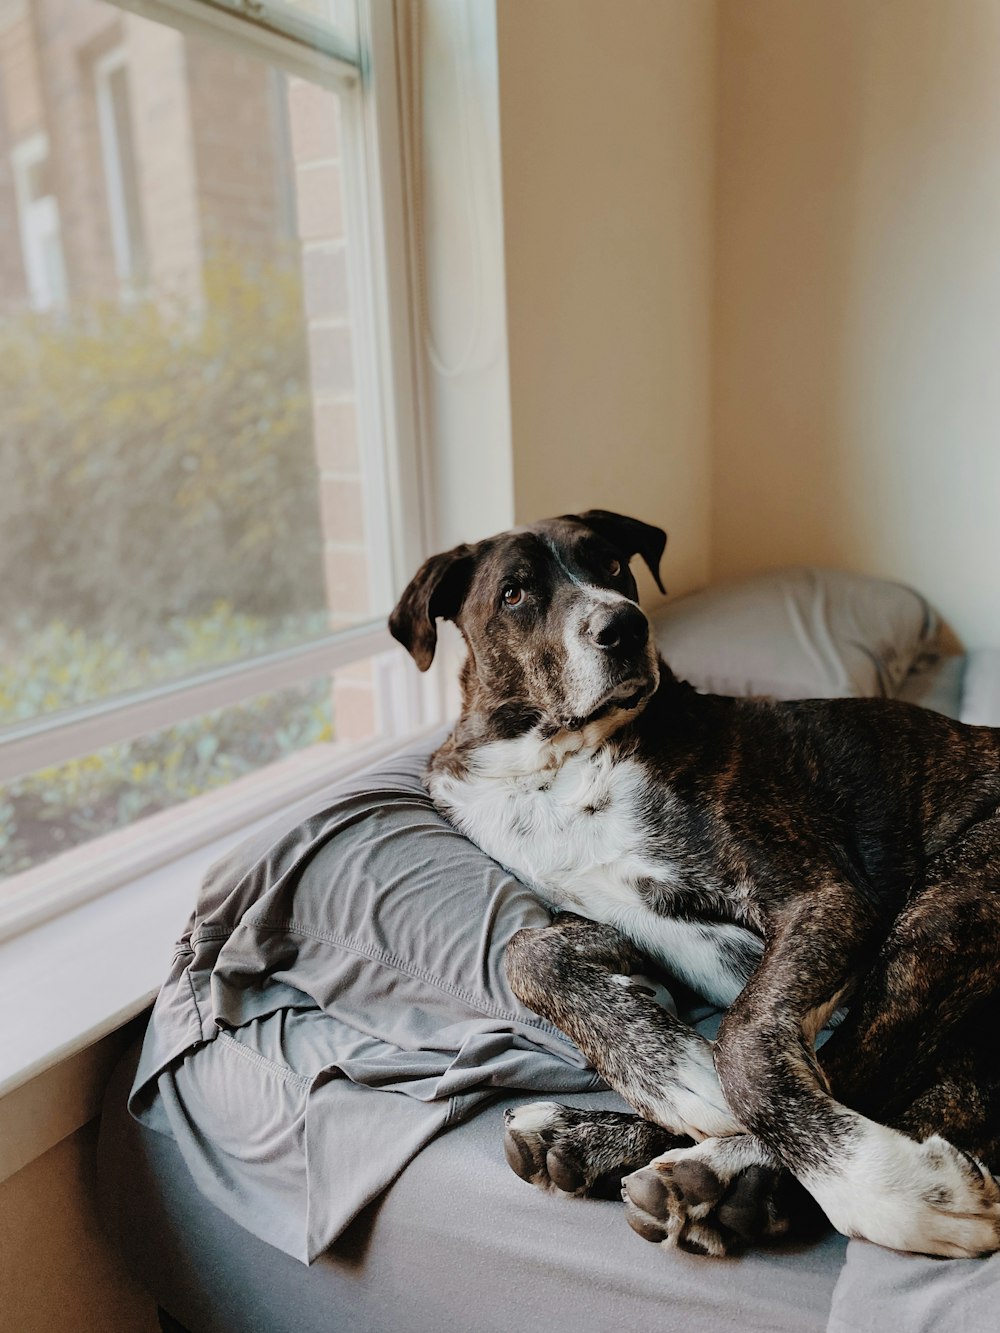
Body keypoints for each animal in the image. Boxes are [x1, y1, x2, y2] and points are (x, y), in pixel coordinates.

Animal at [386, 509, 997, 1258]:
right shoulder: (623, 924)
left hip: (950, 904)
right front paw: (664, 1061)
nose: (623, 626)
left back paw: (735, 1175)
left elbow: (744, 1043)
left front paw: (885, 1187)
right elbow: (525, 952)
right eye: (514, 593)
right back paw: (597, 1145)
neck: (558, 759)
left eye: (612, 565)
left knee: (862, 1067)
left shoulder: (824, 899)